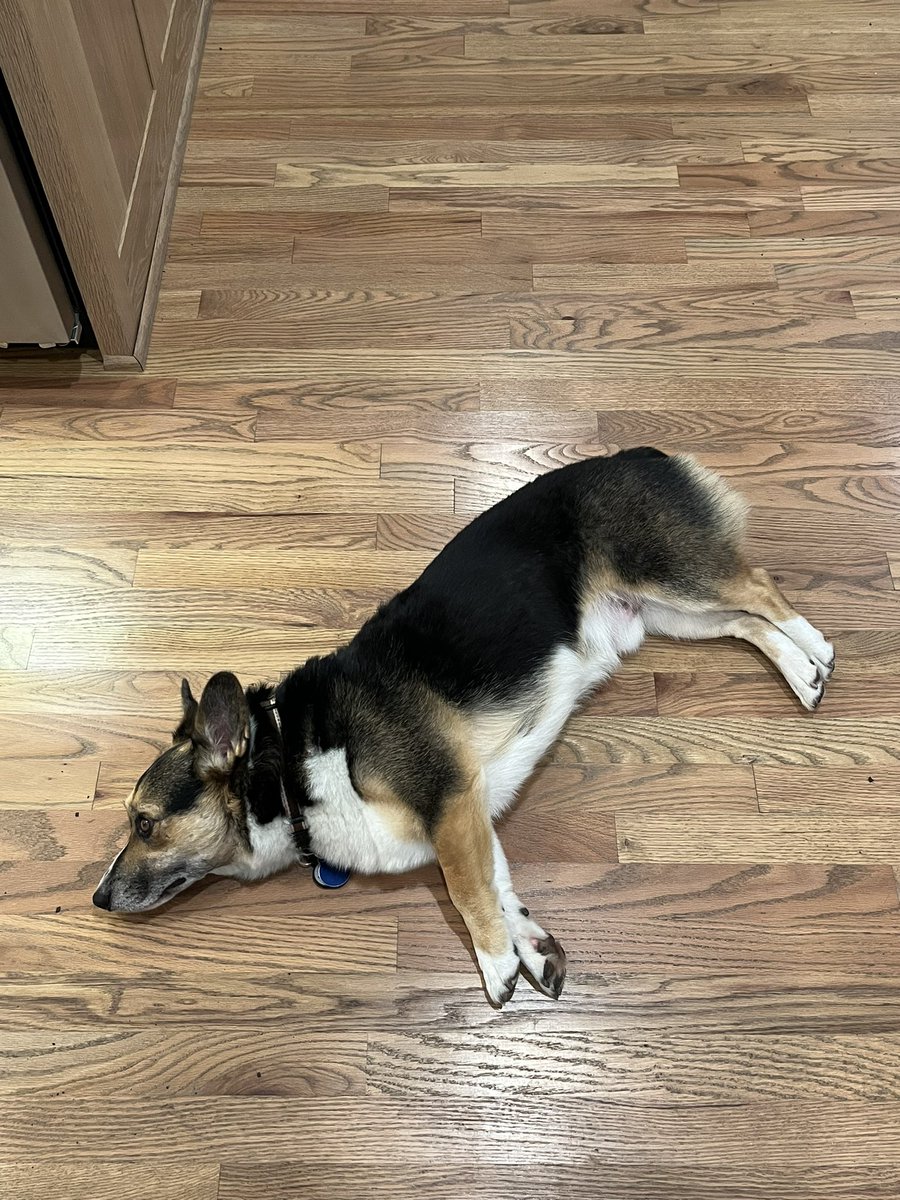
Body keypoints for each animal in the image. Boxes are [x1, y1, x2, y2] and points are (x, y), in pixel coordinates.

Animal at [95, 451, 835, 1003]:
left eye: (144, 823)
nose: (98, 897)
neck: (287, 764)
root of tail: (641, 452)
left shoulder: (448, 804)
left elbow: (464, 889)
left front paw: (494, 963)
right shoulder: (469, 810)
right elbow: (499, 886)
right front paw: (528, 947)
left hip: (673, 576)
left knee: (759, 587)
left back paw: (817, 648)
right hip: (668, 614)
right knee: (745, 625)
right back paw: (800, 671)